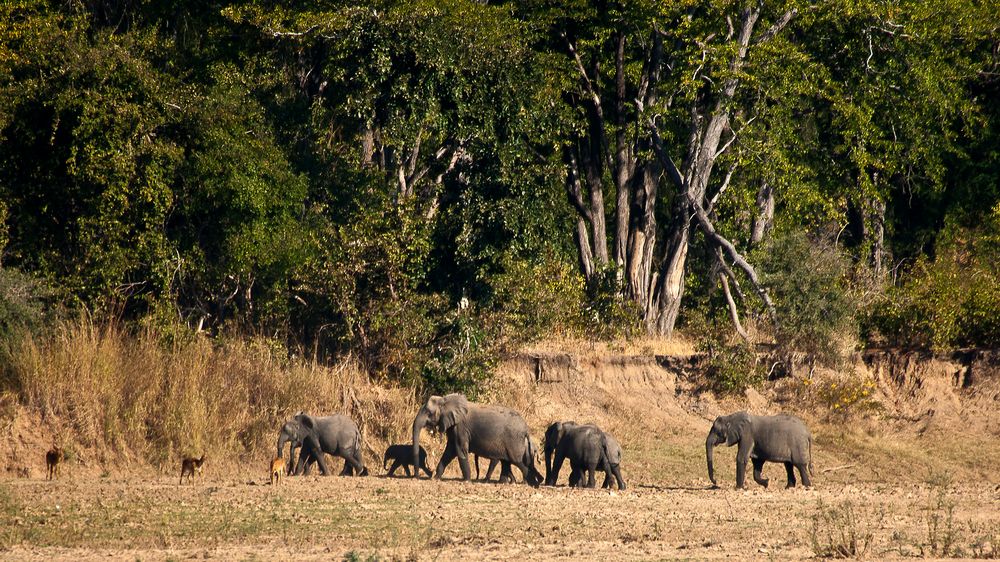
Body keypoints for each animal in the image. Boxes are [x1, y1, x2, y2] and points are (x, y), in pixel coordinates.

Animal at [410, 392, 544, 484]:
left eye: (429, 413)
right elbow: (449, 451)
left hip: (513, 441)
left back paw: (531, 483)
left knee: (518, 461)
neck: (445, 400)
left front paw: (467, 481)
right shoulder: (454, 427)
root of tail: (526, 429)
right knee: (507, 462)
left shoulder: (461, 427)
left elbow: (459, 450)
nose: (416, 476)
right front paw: (435, 478)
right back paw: (506, 483)